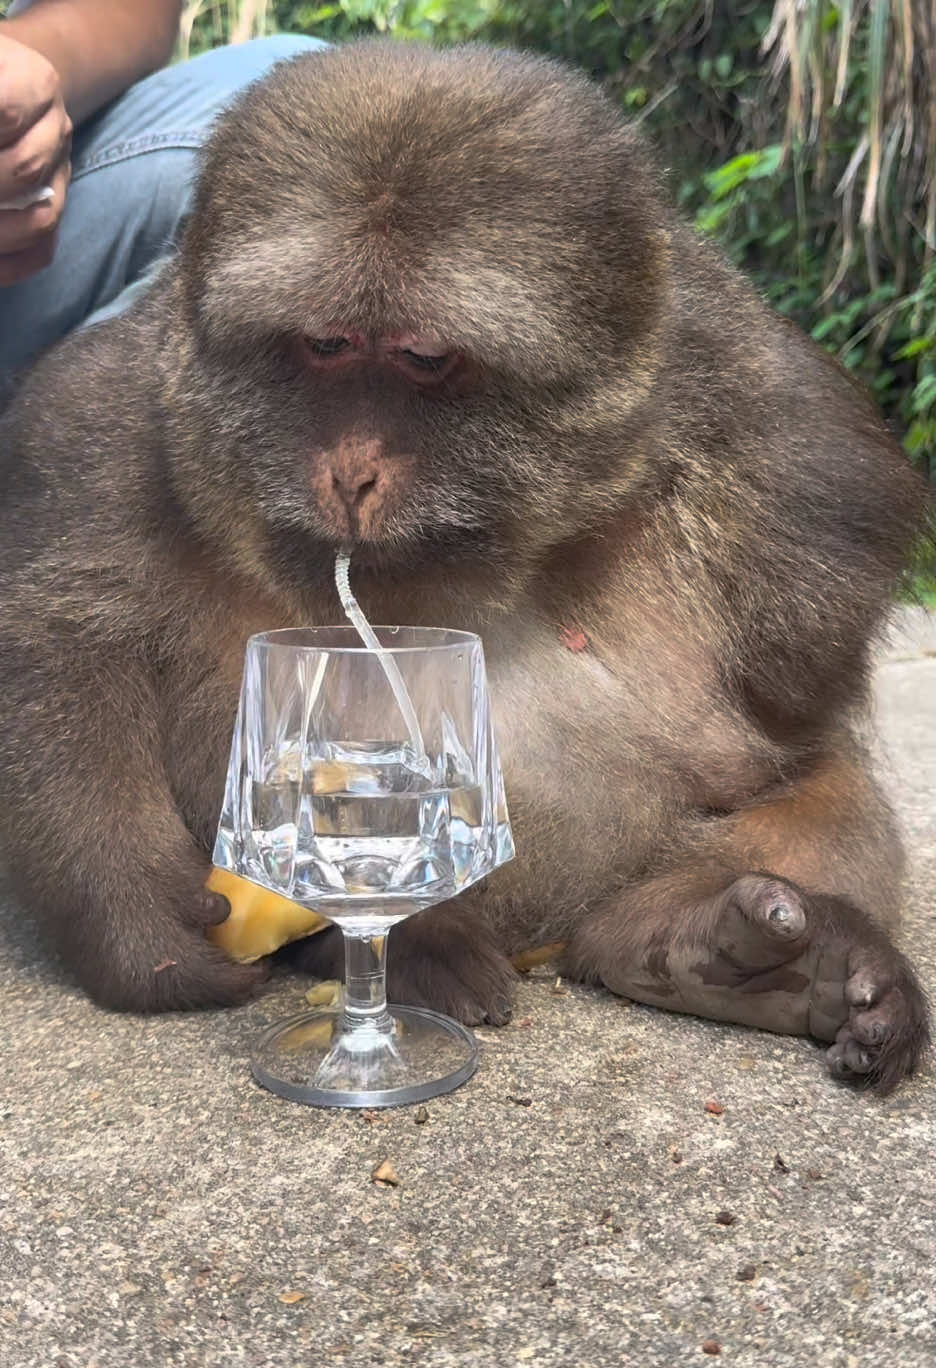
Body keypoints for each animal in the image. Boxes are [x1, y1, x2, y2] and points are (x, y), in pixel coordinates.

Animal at [0, 40, 929, 1094]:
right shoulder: (107, 421)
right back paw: (426, 949)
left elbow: (794, 704)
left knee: (827, 790)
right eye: (326, 344)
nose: (352, 471)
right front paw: (135, 920)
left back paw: (726, 952)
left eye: (424, 357)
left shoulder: (789, 449)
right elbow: (62, 641)